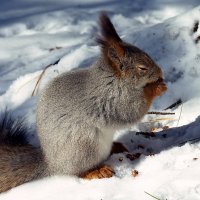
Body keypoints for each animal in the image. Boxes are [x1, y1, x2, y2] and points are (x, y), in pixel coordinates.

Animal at [0, 12, 166, 192]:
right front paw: (155, 88)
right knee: (77, 172)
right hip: (84, 146)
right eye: (142, 68)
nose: (160, 73)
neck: (112, 79)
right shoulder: (114, 99)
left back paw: (116, 147)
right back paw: (96, 171)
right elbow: (133, 110)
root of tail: (52, 164)